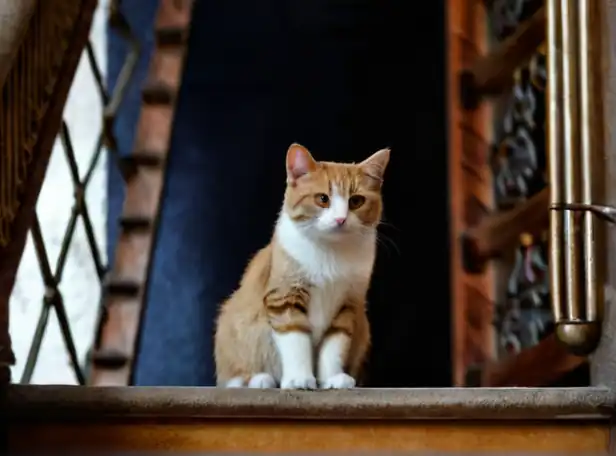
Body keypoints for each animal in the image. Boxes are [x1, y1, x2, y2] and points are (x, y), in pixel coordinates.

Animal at [215, 142, 390, 388]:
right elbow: (295, 342)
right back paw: (260, 379)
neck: (330, 252)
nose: (340, 219)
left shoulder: (348, 306)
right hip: (234, 324)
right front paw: (299, 379)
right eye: (323, 199)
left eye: (356, 201)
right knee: (234, 377)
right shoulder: (284, 297)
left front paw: (332, 379)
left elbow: (333, 347)